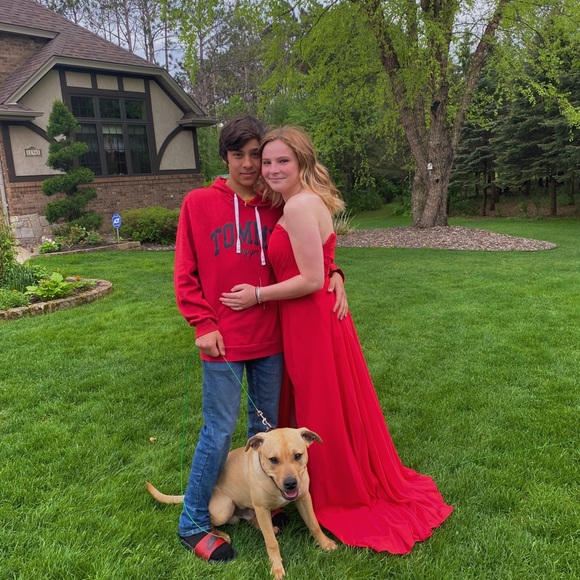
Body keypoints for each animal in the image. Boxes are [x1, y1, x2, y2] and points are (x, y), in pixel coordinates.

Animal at [147, 427, 337, 579]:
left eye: (298, 456)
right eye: (273, 459)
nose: (290, 483)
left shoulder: (304, 498)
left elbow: (314, 524)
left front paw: (325, 543)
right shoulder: (262, 508)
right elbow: (271, 543)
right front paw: (276, 567)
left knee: (254, 521)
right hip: (225, 507)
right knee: (212, 521)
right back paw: (219, 535)